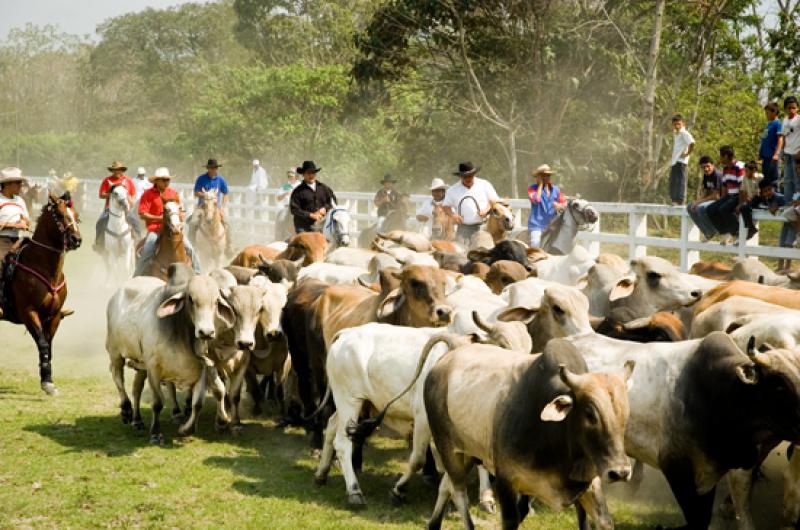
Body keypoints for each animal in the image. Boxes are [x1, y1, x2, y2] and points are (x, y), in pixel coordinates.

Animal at [1, 192, 81, 394]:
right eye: (59, 215)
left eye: (76, 216)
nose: (76, 239)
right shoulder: (29, 313)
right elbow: (43, 344)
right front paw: (47, 382)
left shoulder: (53, 316)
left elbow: (49, 345)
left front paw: (48, 380)